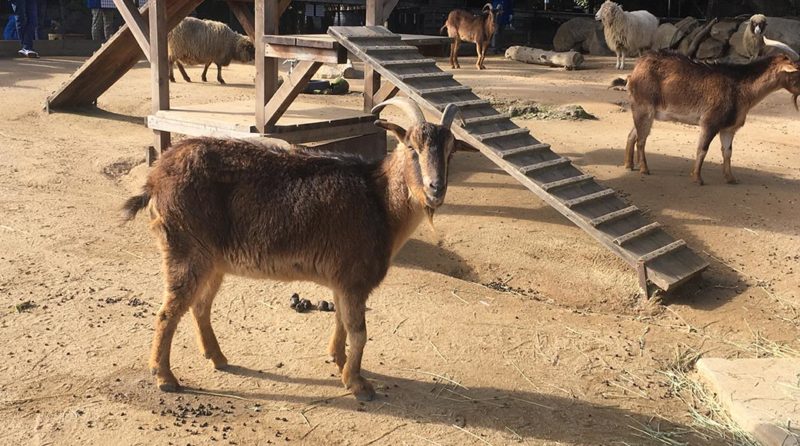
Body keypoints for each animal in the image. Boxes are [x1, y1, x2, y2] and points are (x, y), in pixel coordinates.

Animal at [624, 50, 800, 185]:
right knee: (641, 139)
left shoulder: (728, 129)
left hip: (643, 111)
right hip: (644, 108)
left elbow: (727, 152)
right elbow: (702, 149)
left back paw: (628, 165)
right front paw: (697, 178)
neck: (741, 89)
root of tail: (635, 69)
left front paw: (730, 178)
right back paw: (644, 169)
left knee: (632, 134)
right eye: (797, 71)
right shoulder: (710, 123)